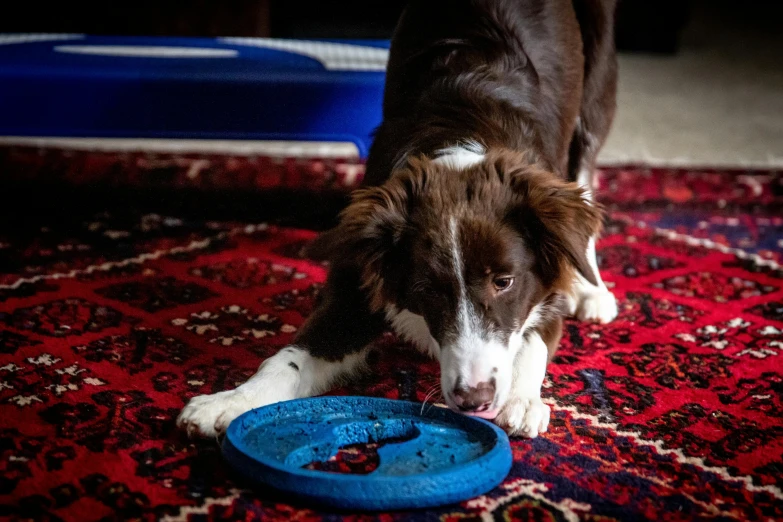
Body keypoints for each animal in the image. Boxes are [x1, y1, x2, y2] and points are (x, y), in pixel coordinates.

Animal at [178, 0, 620, 434]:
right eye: (428, 289)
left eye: (504, 282)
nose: (473, 400)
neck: (460, 144)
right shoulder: (356, 284)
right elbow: (289, 356)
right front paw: (231, 401)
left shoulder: (543, 293)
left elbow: (532, 341)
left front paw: (521, 401)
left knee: (585, 175)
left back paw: (592, 289)